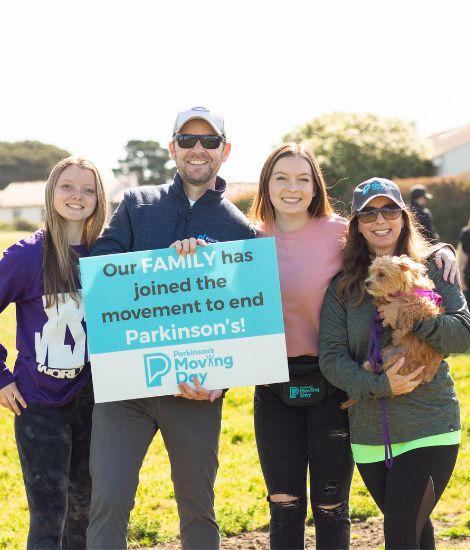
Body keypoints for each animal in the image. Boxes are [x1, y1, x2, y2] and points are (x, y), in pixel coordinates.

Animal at [342, 256, 444, 410]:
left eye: (381, 274)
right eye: (371, 272)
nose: (366, 283)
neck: (401, 291)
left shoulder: (427, 305)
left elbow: (411, 303)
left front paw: (404, 319)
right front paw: (380, 302)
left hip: (401, 361)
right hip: (389, 353)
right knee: (381, 367)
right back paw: (369, 365)